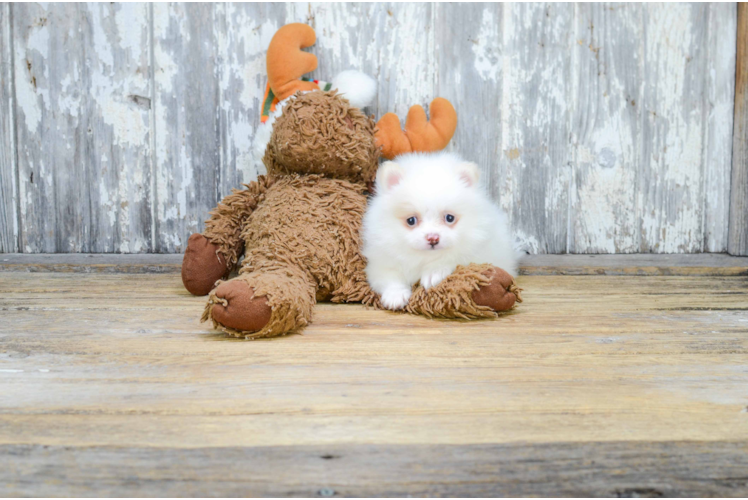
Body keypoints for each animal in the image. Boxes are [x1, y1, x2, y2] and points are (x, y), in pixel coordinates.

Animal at [364, 150, 520, 310]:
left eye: (449, 218)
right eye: (411, 220)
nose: (433, 238)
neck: (424, 258)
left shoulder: (476, 253)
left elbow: (451, 258)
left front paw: (434, 273)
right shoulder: (381, 262)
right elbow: (390, 277)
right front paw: (395, 296)